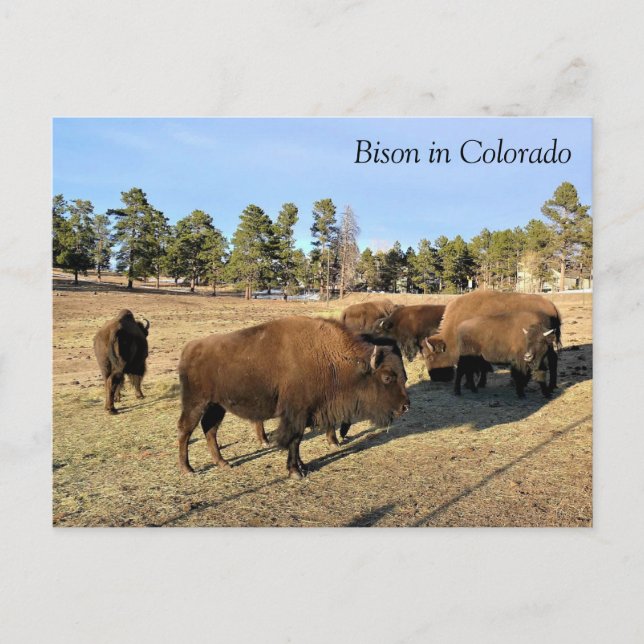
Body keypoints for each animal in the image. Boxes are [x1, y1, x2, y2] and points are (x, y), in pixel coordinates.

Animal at [177, 316, 410, 478]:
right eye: (387, 377)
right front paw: (295, 471)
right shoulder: (296, 414)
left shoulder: (307, 413)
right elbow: (294, 439)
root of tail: (189, 348)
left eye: (404, 376)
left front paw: (302, 466)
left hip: (217, 405)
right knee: (186, 430)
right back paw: (188, 469)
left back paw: (223, 463)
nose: (405, 406)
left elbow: (297, 442)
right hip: (196, 402)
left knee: (210, 429)